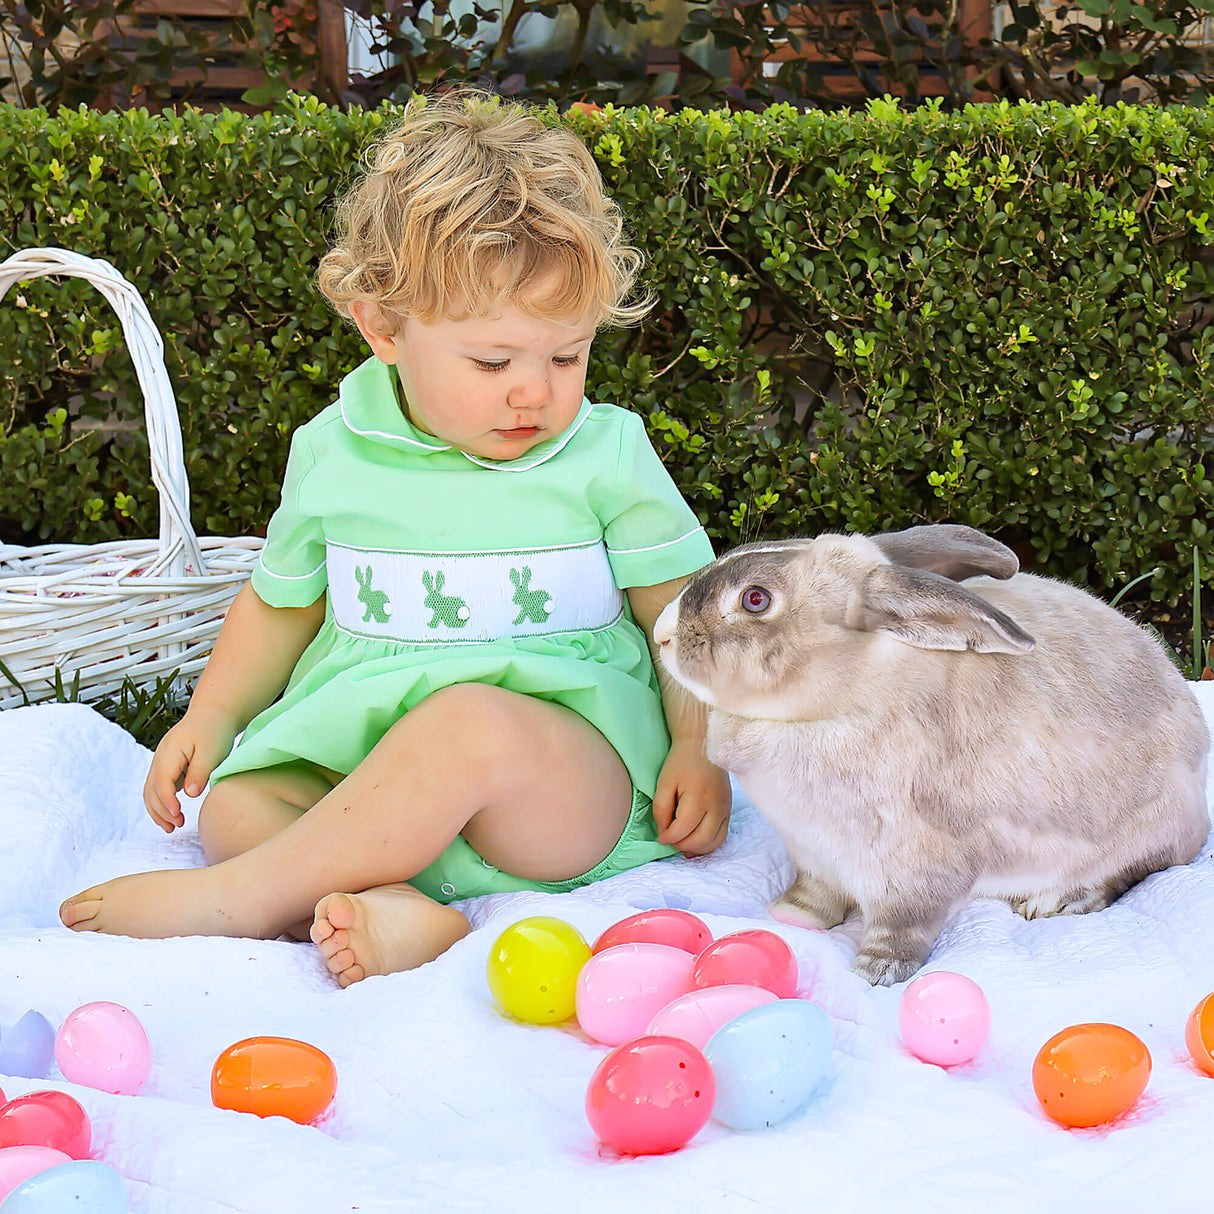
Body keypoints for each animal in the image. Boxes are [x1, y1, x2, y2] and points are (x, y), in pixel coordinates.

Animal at [660, 524, 1209, 985]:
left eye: (756, 599)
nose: (663, 634)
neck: (846, 699)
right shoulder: (812, 854)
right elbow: (815, 892)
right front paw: (792, 915)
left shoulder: (915, 868)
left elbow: (904, 926)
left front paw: (875, 974)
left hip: (1140, 833)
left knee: (1132, 872)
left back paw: (1056, 901)